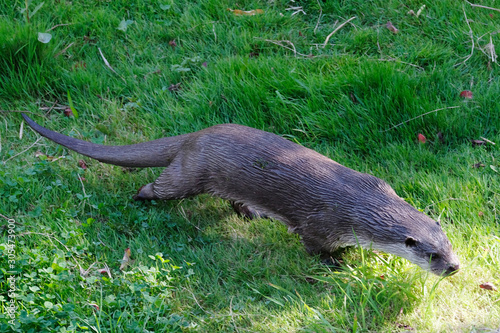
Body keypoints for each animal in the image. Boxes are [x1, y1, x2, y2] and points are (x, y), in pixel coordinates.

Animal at [23, 114, 460, 274]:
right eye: (431, 254)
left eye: (449, 245)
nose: (455, 267)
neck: (361, 205)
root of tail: (196, 136)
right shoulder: (320, 224)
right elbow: (315, 248)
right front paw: (338, 264)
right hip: (187, 175)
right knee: (157, 187)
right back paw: (139, 201)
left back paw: (249, 214)